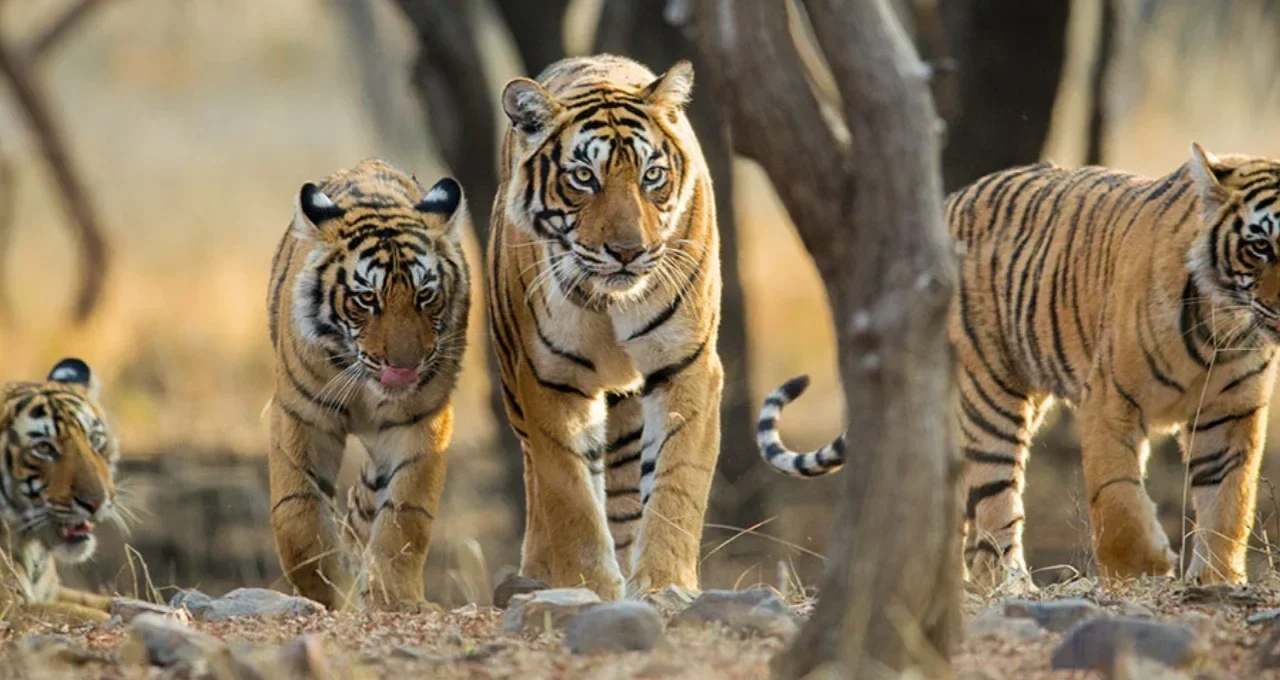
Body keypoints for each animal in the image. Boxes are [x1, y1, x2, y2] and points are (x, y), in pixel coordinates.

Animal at [266, 159, 470, 612]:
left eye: (425, 295)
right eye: (366, 299)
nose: (405, 367)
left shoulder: (421, 421)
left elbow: (404, 516)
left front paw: (393, 600)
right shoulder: (300, 415)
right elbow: (298, 515)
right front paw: (326, 591)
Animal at [488, 54, 722, 600]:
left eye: (652, 175)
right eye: (583, 177)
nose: (628, 252)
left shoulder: (687, 365)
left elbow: (676, 482)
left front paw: (664, 583)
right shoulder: (551, 378)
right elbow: (570, 495)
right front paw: (587, 585)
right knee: (538, 482)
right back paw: (535, 573)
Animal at [757, 143, 1280, 587]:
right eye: (1260, 246)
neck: (1223, 327)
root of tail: (948, 202)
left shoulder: (1232, 413)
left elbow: (1228, 501)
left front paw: (1217, 579)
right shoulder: (1110, 399)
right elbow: (1117, 495)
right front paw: (1142, 571)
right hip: (990, 396)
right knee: (993, 510)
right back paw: (1010, 588)